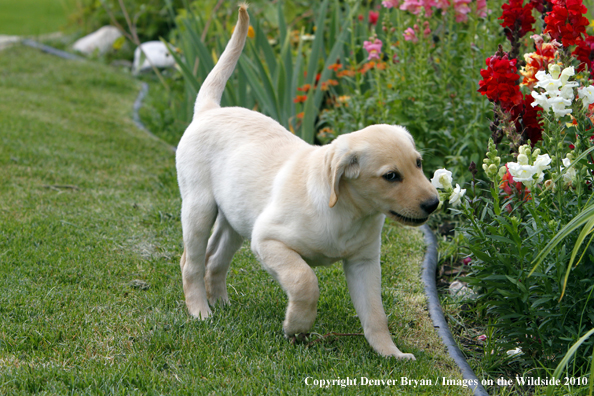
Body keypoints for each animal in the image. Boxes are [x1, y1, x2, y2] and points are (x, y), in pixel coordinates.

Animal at [173, 4, 438, 360]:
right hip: (200, 207)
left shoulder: (364, 263)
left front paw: (390, 353)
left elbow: (375, 313)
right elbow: (305, 280)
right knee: (190, 261)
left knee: (214, 259)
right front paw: (297, 326)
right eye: (391, 176)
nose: (434, 203)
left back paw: (223, 305)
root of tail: (209, 110)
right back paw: (201, 311)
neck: (349, 212)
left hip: (236, 219)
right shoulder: (268, 240)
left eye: (419, 164)